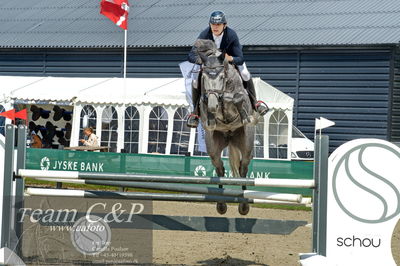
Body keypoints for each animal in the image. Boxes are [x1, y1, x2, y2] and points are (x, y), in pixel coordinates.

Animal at [195, 39, 258, 214]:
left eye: (222, 76)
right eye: (204, 77)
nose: (213, 105)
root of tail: (230, 138)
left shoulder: (237, 97)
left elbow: (236, 98)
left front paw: (243, 114)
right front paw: (211, 115)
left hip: (246, 144)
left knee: (243, 168)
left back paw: (244, 206)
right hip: (213, 147)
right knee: (220, 169)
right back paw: (221, 204)